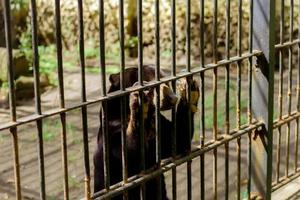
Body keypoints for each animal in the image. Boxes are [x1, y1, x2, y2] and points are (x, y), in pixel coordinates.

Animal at [92, 65, 198, 199]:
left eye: (167, 82)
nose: (172, 98)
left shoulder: (159, 124)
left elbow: (177, 141)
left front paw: (190, 89)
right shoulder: (111, 131)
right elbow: (127, 153)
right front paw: (140, 102)